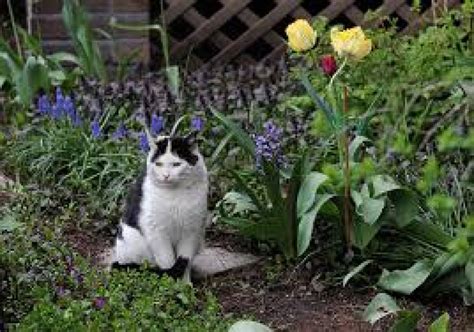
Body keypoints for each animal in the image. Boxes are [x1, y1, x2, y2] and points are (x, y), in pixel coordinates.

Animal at [110, 126, 210, 284]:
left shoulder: (191, 230)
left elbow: (185, 261)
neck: (174, 195)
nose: (166, 175)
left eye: (176, 164)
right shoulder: (156, 231)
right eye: (159, 164)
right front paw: (171, 285)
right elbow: (168, 261)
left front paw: (185, 284)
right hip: (132, 240)